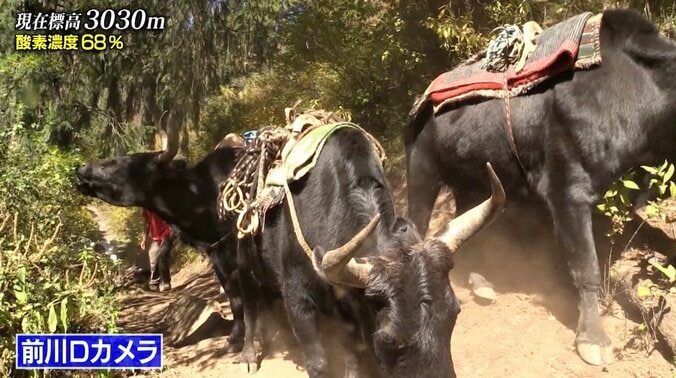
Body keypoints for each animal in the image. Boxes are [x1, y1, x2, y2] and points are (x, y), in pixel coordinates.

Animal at [75, 117, 247, 352]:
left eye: (125, 164)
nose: (81, 168)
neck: (204, 196)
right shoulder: (218, 256)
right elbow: (234, 297)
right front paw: (235, 338)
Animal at [240, 125, 504, 378]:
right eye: (389, 339)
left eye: (454, 315)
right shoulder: (296, 295)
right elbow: (317, 363)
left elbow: (353, 358)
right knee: (248, 305)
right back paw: (250, 355)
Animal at [404, 9, 672, 366]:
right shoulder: (567, 190)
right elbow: (585, 264)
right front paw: (593, 338)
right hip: (422, 175)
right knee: (416, 224)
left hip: (475, 186)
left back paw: (481, 283)